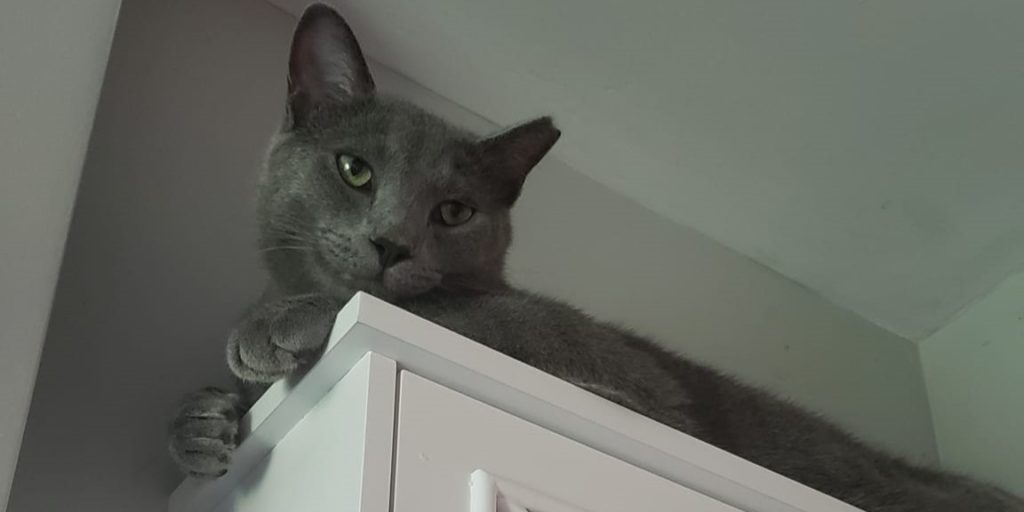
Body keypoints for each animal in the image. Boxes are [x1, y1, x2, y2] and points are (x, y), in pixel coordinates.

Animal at [169, 4, 1024, 512]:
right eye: (355, 170)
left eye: (454, 211)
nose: (391, 242)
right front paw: (199, 426)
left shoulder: (619, 373)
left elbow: (448, 306)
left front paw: (270, 326)